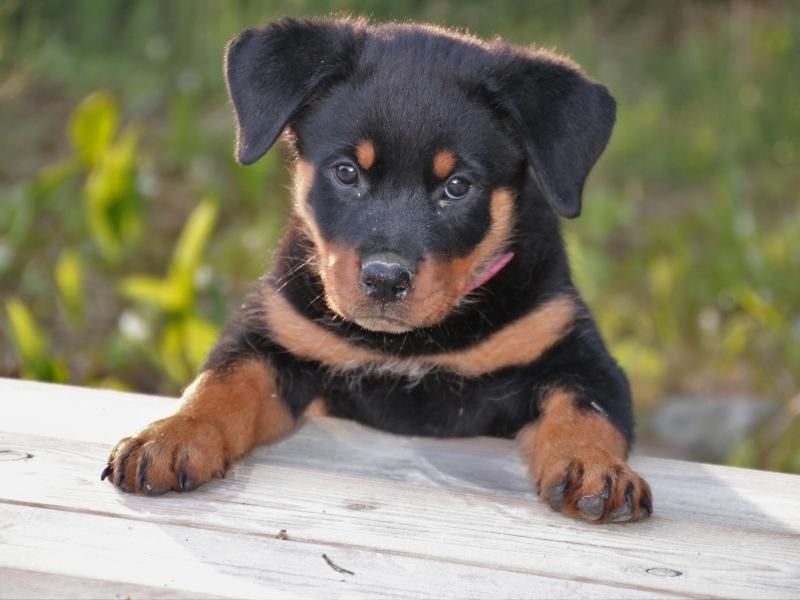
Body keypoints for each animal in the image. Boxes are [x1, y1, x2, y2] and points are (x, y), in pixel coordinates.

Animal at [101, 16, 648, 524]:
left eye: (457, 186)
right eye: (346, 172)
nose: (385, 279)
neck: (410, 347)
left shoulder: (576, 353)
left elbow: (586, 411)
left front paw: (595, 469)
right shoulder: (274, 336)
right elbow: (221, 383)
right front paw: (171, 436)